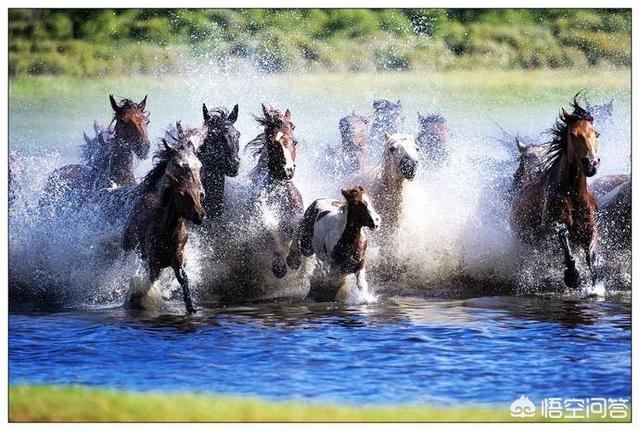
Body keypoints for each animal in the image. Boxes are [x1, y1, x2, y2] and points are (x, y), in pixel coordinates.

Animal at [121, 138, 204, 314]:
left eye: (199, 165)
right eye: (180, 165)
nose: (202, 194)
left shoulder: (177, 259)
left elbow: (183, 279)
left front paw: (191, 306)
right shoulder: (154, 262)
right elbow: (152, 282)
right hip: (128, 250)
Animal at [245, 105, 304, 280]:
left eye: (294, 141)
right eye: (272, 143)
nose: (288, 170)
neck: (278, 192)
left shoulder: (297, 212)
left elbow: (297, 225)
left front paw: (294, 259)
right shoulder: (261, 217)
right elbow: (271, 231)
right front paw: (279, 266)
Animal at [510, 95, 600, 290]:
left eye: (596, 134)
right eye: (573, 134)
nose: (591, 164)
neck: (573, 194)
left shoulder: (590, 231)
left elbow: (591, 257)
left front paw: (595, 286)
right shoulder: (550, 227)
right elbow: (562, 234)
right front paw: (573, 277)